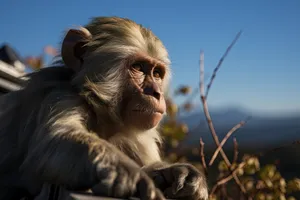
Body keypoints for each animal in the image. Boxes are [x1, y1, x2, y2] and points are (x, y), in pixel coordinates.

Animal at [0, 17, 207, 200]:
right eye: (138, 67)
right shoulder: (60, 95)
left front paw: (176, 173)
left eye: (157, 73)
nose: (156, 93)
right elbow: (54, 139)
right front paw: (128, 174)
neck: (102, 116)